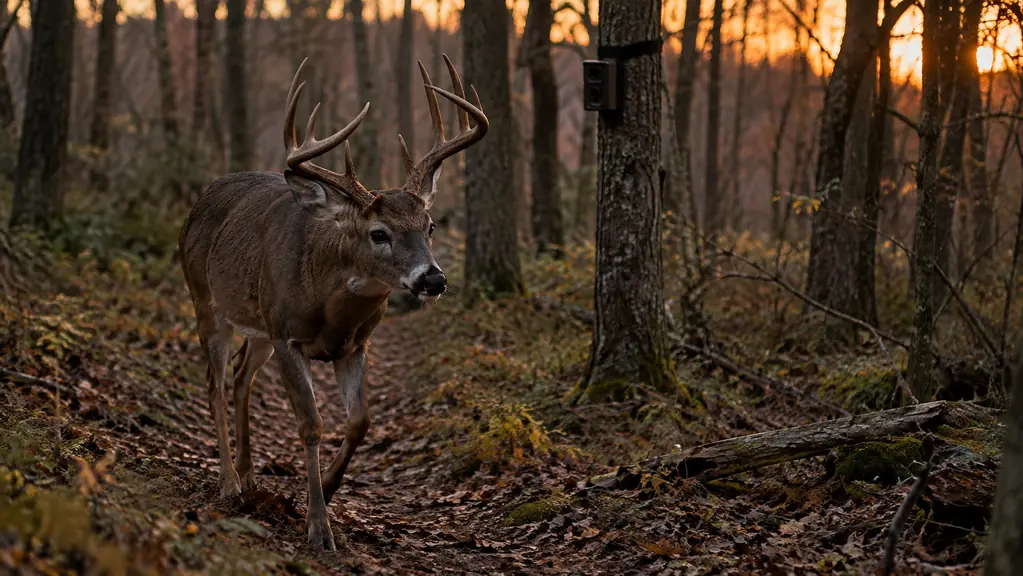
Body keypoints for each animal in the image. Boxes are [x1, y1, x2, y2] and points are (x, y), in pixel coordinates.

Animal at [177, 55, 488, 551]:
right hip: (206, 302)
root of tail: (201, 200)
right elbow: (311, 425)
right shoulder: (288, 336)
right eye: (379, 233)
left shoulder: (354, 345)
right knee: (214, 382)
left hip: (258, 324)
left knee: (241, 375)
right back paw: (228, 484)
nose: (433, 279)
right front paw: (318, 527)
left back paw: (249, 476)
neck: (329, 308)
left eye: (431, 225)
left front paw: (324, 488)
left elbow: (360, 421)